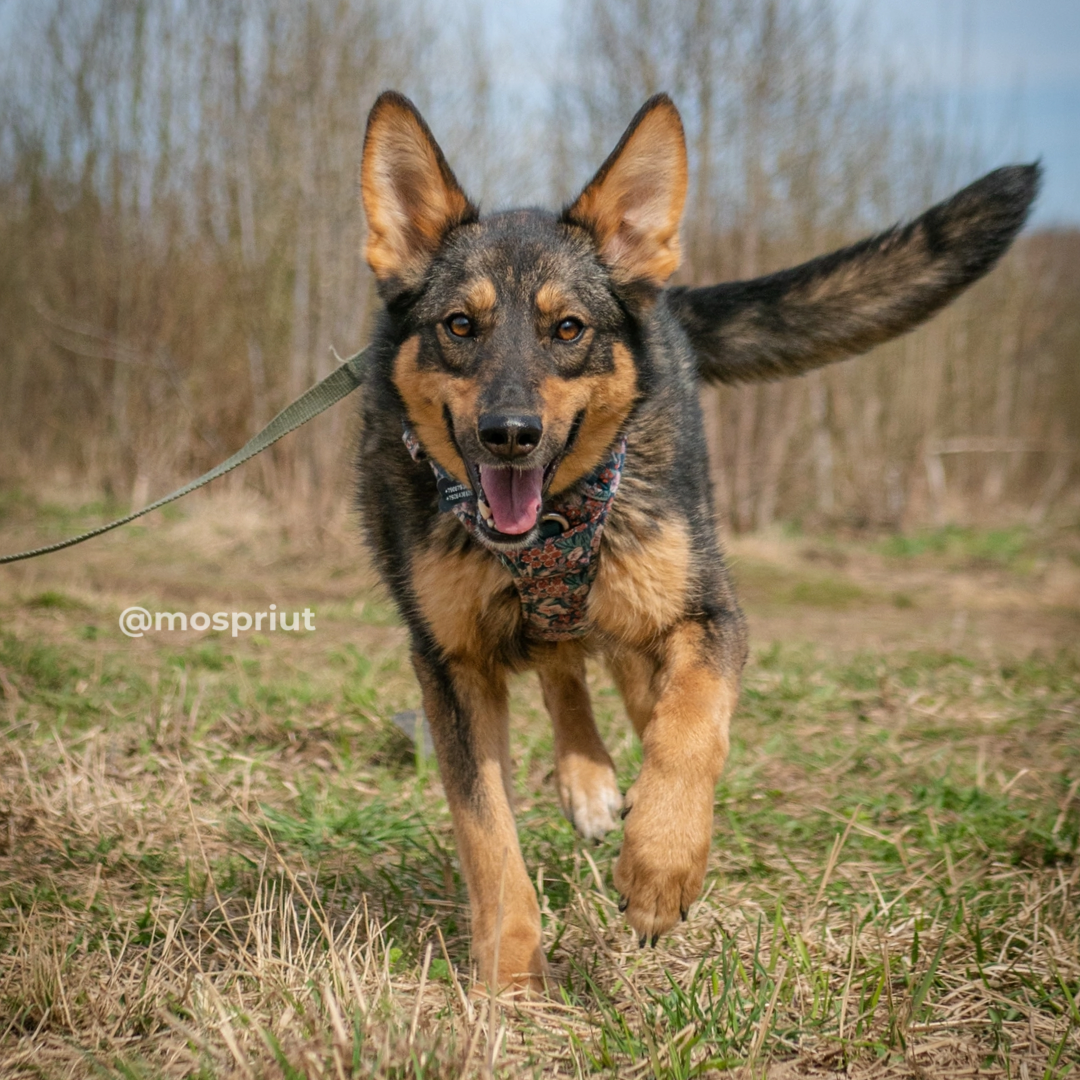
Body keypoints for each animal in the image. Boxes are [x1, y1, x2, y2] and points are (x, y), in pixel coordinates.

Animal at [354, 88, 1036, 989]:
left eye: (568, 330)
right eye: (460, 326)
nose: (510, 435)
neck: (549, 536)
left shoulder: (708, 617)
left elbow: (690, 728)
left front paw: (663, 862)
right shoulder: (450, 667)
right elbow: (488, 838)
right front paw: (512, 984)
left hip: (650, 601)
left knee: (630, 688)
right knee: (565, 665)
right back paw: (588, 779)